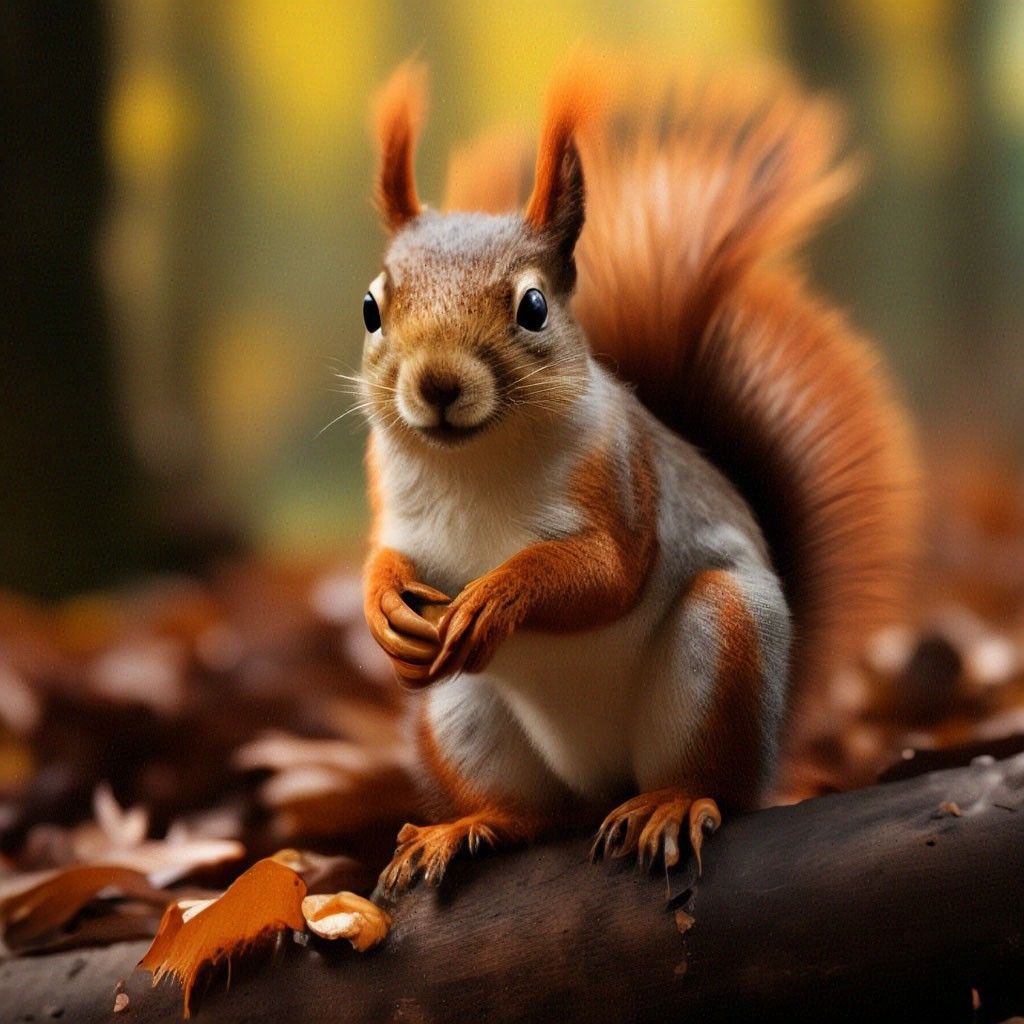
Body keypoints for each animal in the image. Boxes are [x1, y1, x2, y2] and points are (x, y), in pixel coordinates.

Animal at [357, 59, 918, 898]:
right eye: (370, 308)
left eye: (533, 306)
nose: (438, 384)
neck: (473, 463)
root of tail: (604, 785)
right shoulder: (397, 506)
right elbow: (383, 558)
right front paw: (384, 605)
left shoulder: (621, 480)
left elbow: (604, 573)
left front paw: (497, 595)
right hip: (459, 711)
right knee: (536, 815)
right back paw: (470, 825)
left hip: (723, 642)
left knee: (714, 781)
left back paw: (671, 804)